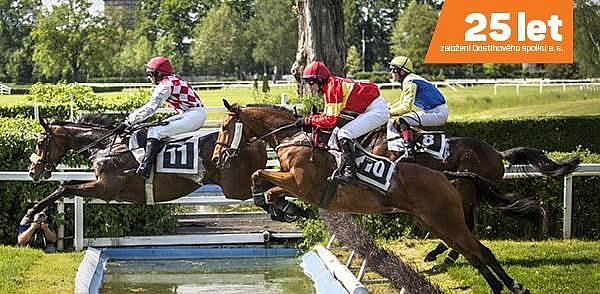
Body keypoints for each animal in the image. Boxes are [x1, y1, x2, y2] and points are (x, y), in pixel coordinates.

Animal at [22, 113, 268, 224]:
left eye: (40, 143)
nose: (33, 171)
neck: (106, 145)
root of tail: (253, 139)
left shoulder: (106, 188)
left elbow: (63, 188)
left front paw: (30, 214)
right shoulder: (100, 184)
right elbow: (67, 185)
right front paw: (34, 212)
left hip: (233, 188)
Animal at [213, 101, 532, 294]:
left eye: (225, 127)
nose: (217, 157)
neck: (295, 138)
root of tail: (445, 176)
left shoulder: (299, 183)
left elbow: (260, 177)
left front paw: (285, 209)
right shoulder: (293, 183)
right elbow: (266, 185)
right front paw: (285, 210)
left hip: (447, 220)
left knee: (481, 251)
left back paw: (514, 285)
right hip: (438, 223)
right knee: (472, 253)